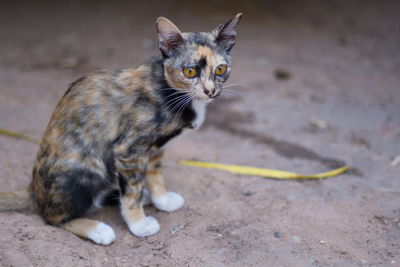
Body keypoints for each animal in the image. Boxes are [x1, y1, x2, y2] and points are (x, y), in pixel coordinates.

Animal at [0, 13, 241, 246]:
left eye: (221, 69)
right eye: (190, 71)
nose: (210, 91)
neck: (169, 89)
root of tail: (33, 189)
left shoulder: (154, 148)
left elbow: (155, 173)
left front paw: (161, 199)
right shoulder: (130, 149)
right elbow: (132, 191)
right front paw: (139, 224)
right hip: (86, 169)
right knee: (53, 217)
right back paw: (99, 229)